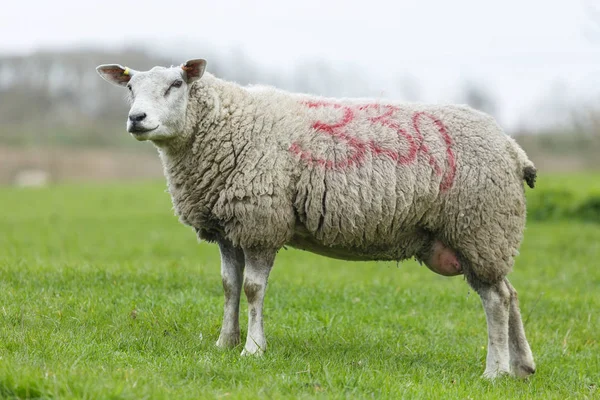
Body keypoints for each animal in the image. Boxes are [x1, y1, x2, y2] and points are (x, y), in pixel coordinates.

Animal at [97, 58, 540, 378]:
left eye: (176, 85)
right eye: (131, 88)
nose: (137, 118)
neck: (223, 126)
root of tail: (513, 148)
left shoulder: (262, 222)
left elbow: (253, 289)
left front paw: (253, 349)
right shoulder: (228, 228)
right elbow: (228, 286)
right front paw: (224, 342)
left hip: (481, 226)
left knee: (497, 300)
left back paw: (494, 372)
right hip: (483, 236)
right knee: (510, 294)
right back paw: (522, 367)